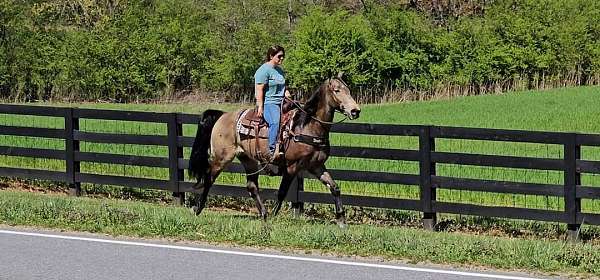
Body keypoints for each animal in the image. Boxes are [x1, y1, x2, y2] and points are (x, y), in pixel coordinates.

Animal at [188, 76, 360, 228]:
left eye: (348, 90)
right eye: (337, 90)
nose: (355, 111)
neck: (307, 126)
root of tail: (223, 115)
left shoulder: (316, 166)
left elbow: (335, 187)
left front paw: (341, 220)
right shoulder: (292, 167)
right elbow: (282, 192)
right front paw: (274, 216)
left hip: (248, 160)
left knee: (252, 186)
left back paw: (263, 214)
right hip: (221, 158)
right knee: (209, 179)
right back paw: (197, 208)